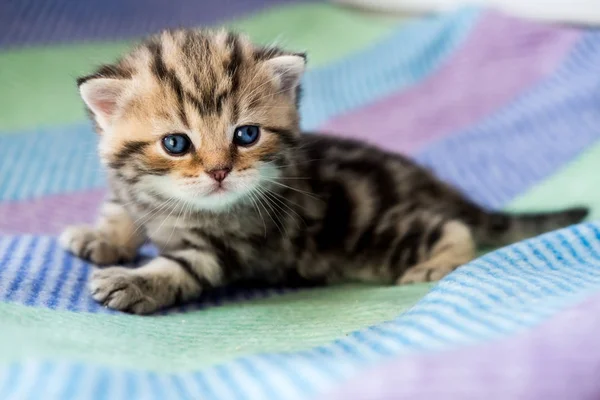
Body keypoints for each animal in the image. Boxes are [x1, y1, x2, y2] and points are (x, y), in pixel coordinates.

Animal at [61, 29, 584, 314]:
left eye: (245, 135)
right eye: (175, 143)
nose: (219, 172)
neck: (172, 205)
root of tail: (433, 185)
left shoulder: (234, 245)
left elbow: (181, 265)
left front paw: (135, 282)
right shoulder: (131, 189)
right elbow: (121, 211)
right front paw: (100, 237)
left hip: (381, 231)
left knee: (452, 228)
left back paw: (436, 263)